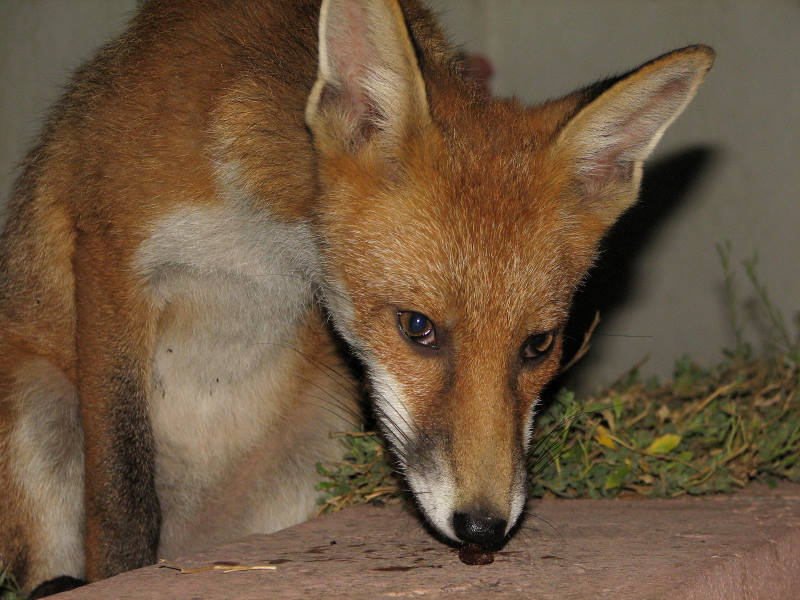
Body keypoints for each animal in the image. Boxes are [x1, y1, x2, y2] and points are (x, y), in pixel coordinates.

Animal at [0, 0, 712, 592]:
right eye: (417, 327)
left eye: (539, 346)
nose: (483, 528)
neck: (266, 237)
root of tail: (196, 543)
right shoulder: (111, 254)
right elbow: (121, 497)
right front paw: (123, 576)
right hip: (37, 404)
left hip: (321, 436)